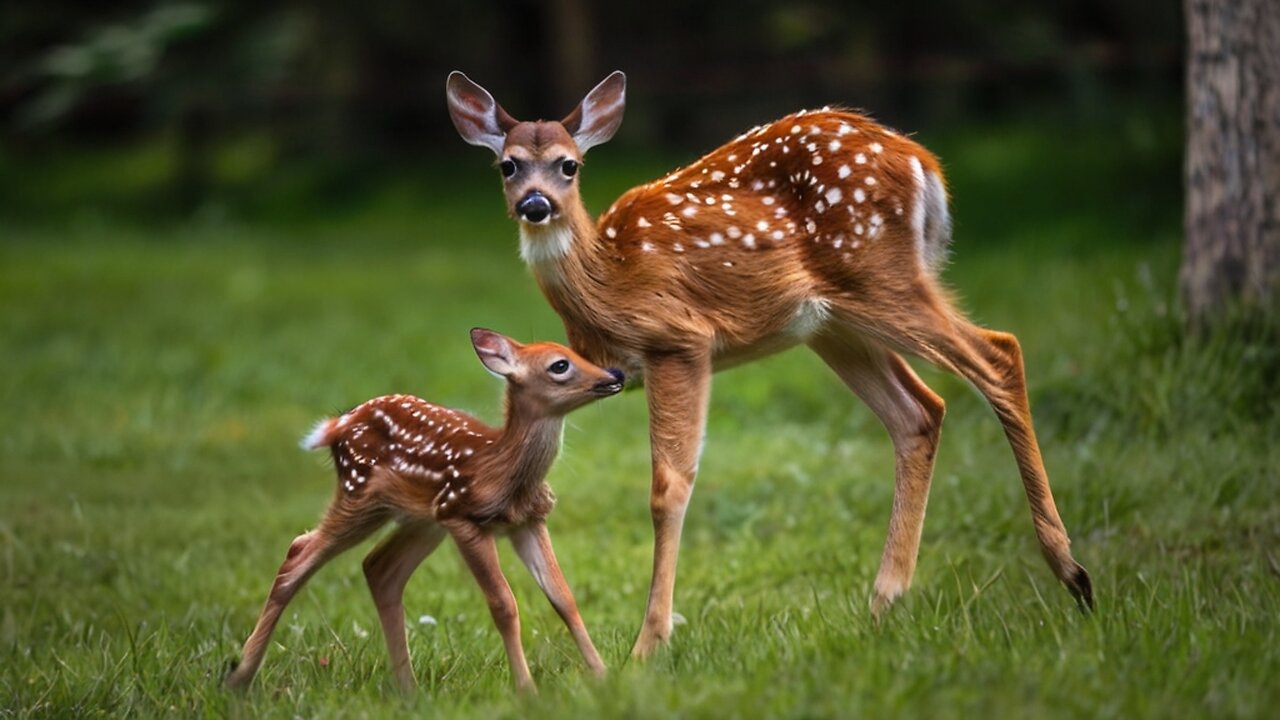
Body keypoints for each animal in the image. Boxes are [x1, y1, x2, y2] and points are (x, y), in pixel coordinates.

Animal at [448, 73, 1090, 655]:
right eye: (507, 166)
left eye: (569, 165)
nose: (535, 206)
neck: (605, 288)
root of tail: (922, 160)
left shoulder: (678, 340)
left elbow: (669, 486)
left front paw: (648, 644)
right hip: (832, 322)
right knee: (919, 411)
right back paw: (884, 602)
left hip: (879, 275)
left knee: (999, 352)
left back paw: (1072, 574)